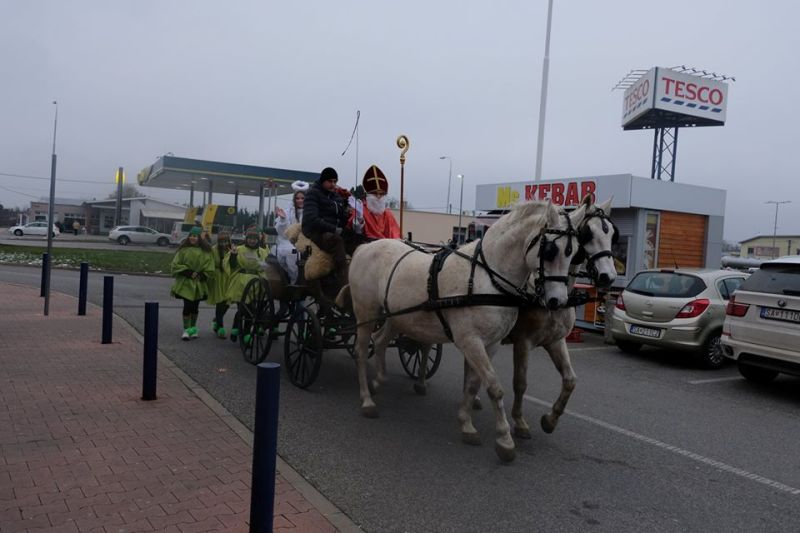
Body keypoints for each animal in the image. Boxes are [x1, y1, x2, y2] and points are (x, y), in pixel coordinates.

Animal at [346, 201, 588, 462]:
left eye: (575, 253)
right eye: (550, 250)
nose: (557, 301)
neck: (487, 277)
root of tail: (364, 247)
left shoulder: (490, 344)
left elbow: (473, 384)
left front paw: (466, 423)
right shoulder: (470, 340)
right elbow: (494, 386)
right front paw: (504, 439)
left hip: (397, 317)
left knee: (380, 341)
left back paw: (379, 380)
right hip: (366, 314)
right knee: (361, 351)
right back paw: (367, 400)